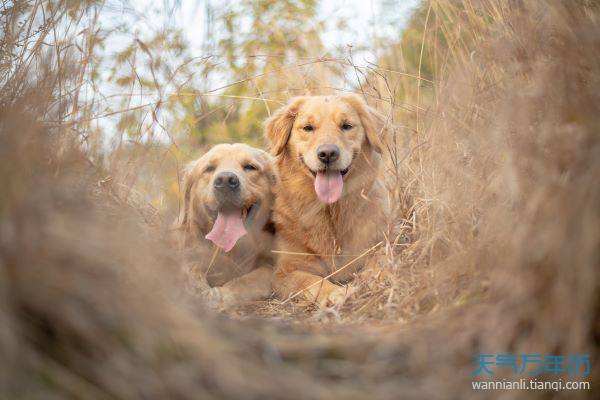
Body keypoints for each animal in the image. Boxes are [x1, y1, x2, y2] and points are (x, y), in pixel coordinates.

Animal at [172, 144, 278, 310]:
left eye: (250, 167)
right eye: (209, 168)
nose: (226, 181)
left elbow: (249, 279)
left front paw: (219, 295)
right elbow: (191, 267)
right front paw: (196, 287)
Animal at [264, 95, 390, 308]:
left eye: (346, 126)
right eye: (308, 128)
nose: (328, 154)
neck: (331, 211)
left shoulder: (380, 243)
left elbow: (379, 259)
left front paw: (372, 277)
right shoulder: (284, 271)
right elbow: (311, 280)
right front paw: (335, 293)